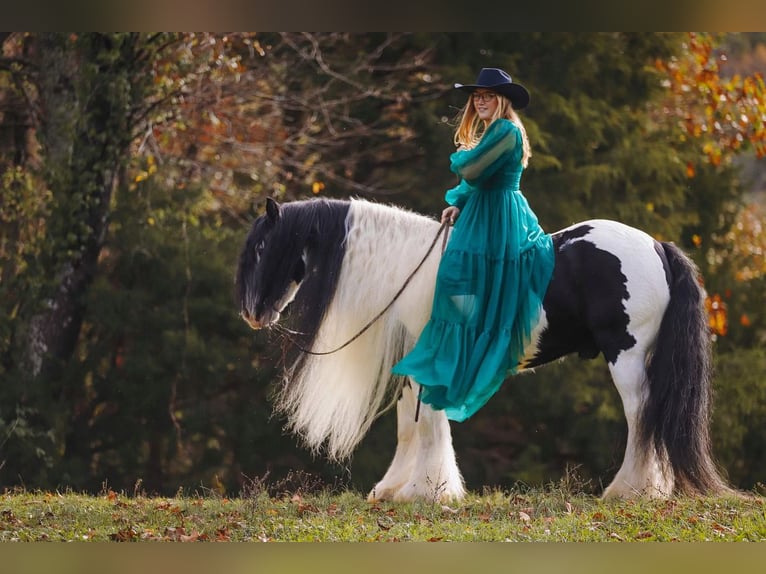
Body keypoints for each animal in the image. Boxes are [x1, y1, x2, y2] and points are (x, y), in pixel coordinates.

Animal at [237, 198, 736, 504]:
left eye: (263, 246)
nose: (254, 313)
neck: (410, 270)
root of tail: (654, 245)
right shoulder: (412, 368)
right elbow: (408, 428)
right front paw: (395, 490)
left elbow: (429, 427)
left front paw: (428, 492)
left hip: (626, 357)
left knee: (640, 416)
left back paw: (627, 490)